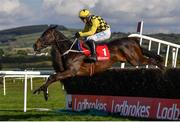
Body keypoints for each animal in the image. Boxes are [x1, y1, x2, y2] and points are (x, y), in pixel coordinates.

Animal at [33, 25, 164, 100]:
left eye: (46, 35)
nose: (35, 45)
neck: (71, 50)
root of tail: (133, 39)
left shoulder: (71, 71)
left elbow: (52, 77)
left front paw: (42, 91)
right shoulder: (66, 72)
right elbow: (52, 77)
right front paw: (42, 91)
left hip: (135, 59)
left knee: (152, 60)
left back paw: (163, 69)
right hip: (133, 58)